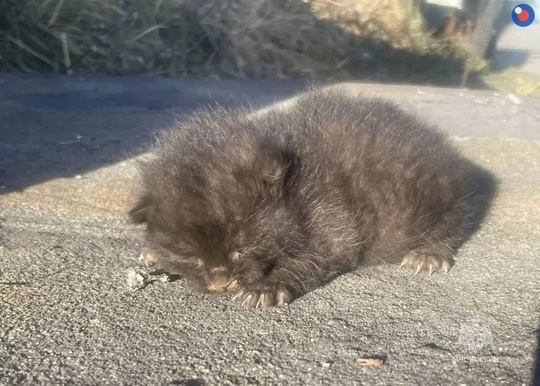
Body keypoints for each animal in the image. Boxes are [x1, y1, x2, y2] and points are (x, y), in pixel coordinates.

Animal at [130, 86, 472, 308]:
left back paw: (428, 255)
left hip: (438, 193)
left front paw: (267, 287)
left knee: (451, 224)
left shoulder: (330, 214)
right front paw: (151, 251)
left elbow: (314, 257)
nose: (221, 284)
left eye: (242, 249)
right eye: (191, 257)